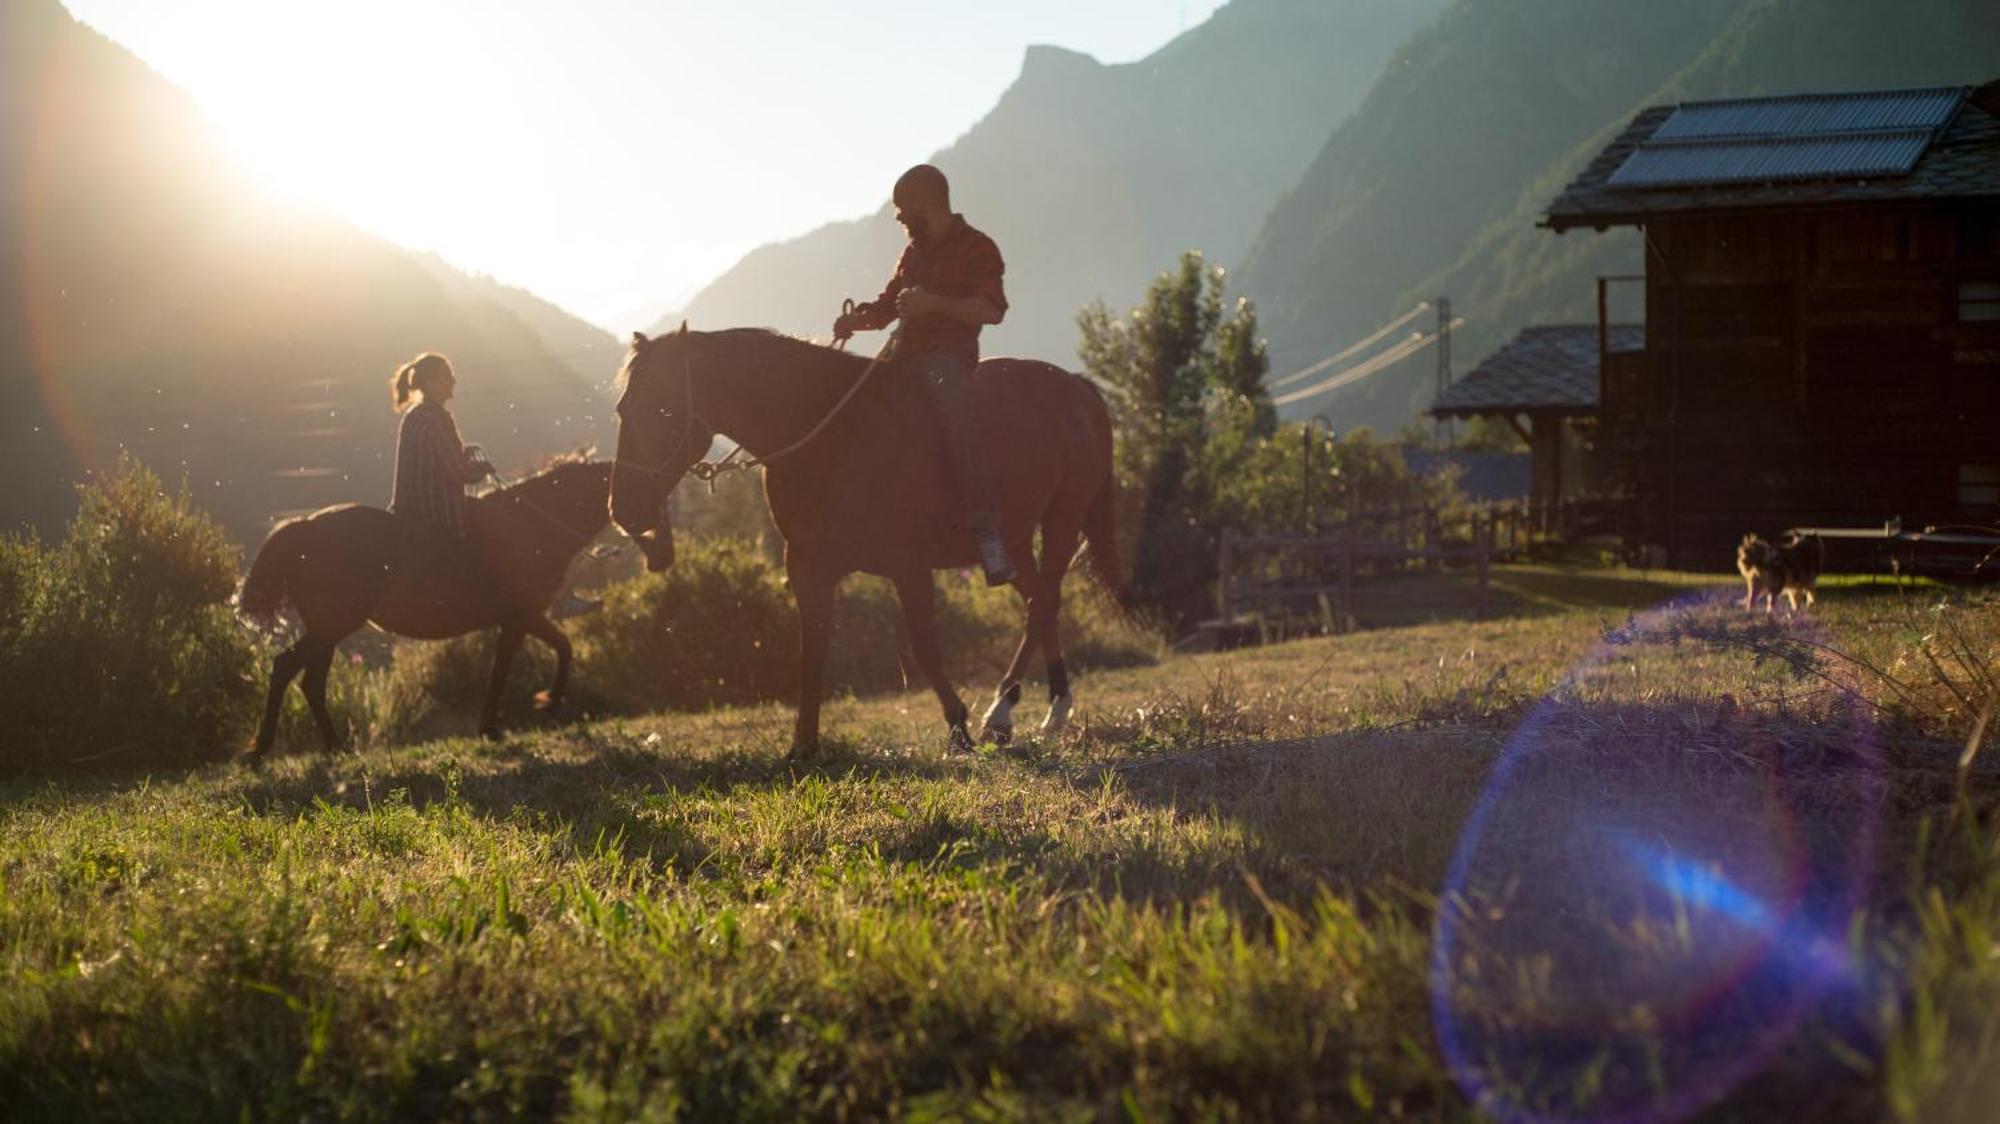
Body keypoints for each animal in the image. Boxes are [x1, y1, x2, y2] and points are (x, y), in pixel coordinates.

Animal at [236, 460, 608, 756]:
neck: (532, 524)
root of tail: (304, 527)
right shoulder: (521, 616)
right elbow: (527, 660)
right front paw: (540, 706)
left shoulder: (519, 619)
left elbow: (549, 650)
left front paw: (524, 712)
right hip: (332, 626)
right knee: (290, 670)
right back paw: (274, 749)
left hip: (327, 631)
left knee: (305, 680)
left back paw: (323, 747)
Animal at [608, 328, 1120, 756]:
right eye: (622, 410)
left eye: (664, 409)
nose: (623, 510)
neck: (830, 438)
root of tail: (1078, 388)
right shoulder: (808, 567)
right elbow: (812, 652)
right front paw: (803, 746)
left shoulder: (908, 566)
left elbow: (923, 647)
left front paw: (959, 730)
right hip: (1014, 541)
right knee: (1042, 602)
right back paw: (1052, 707)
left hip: (1063, 517)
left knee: (1042, 603)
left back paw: (1003, 711)